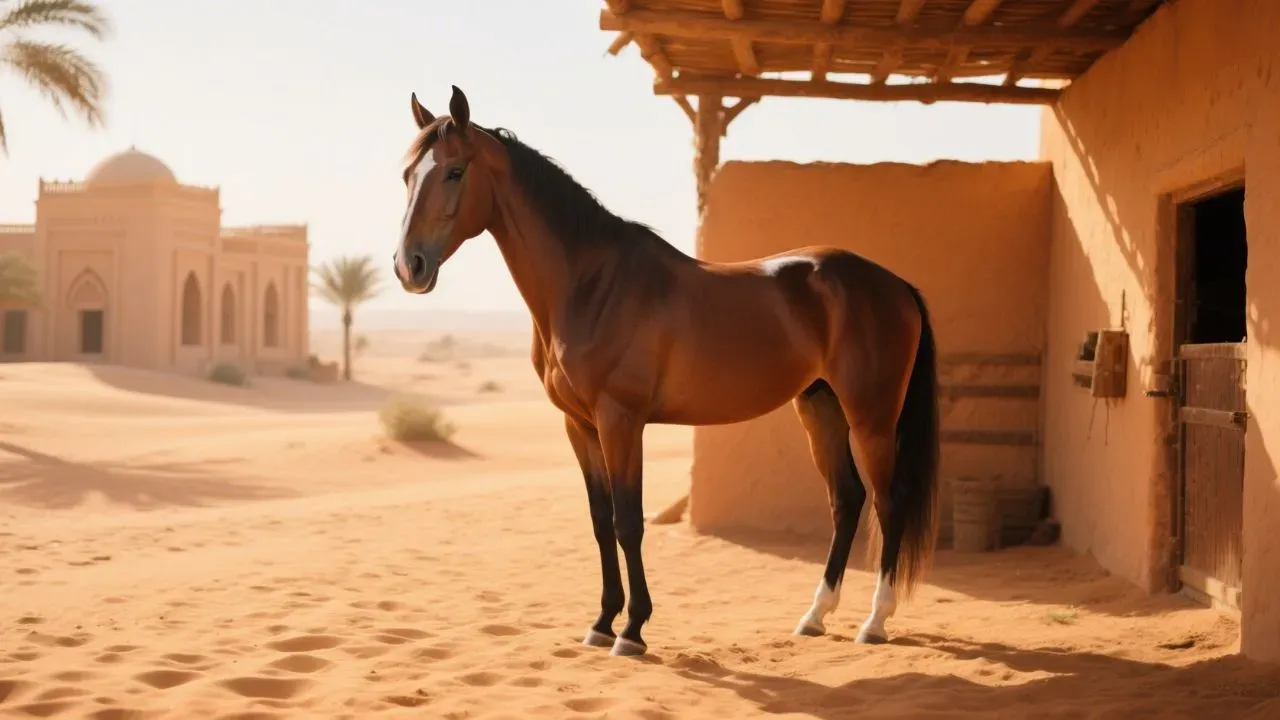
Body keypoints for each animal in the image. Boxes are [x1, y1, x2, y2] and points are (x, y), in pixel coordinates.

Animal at [392, 85, 940, 658]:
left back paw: (874, 622)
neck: (590, 285)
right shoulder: (579, 425)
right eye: (407, 174)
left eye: (454, 171)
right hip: (820, 406)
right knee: (847, 500)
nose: (409, 266)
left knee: (889, 502)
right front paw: (601, 622)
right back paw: (815, 615)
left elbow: (629, 522)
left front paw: (632, 630)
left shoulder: (621, 421)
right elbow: (601, 521)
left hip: (871, 416)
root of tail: (896, 284)